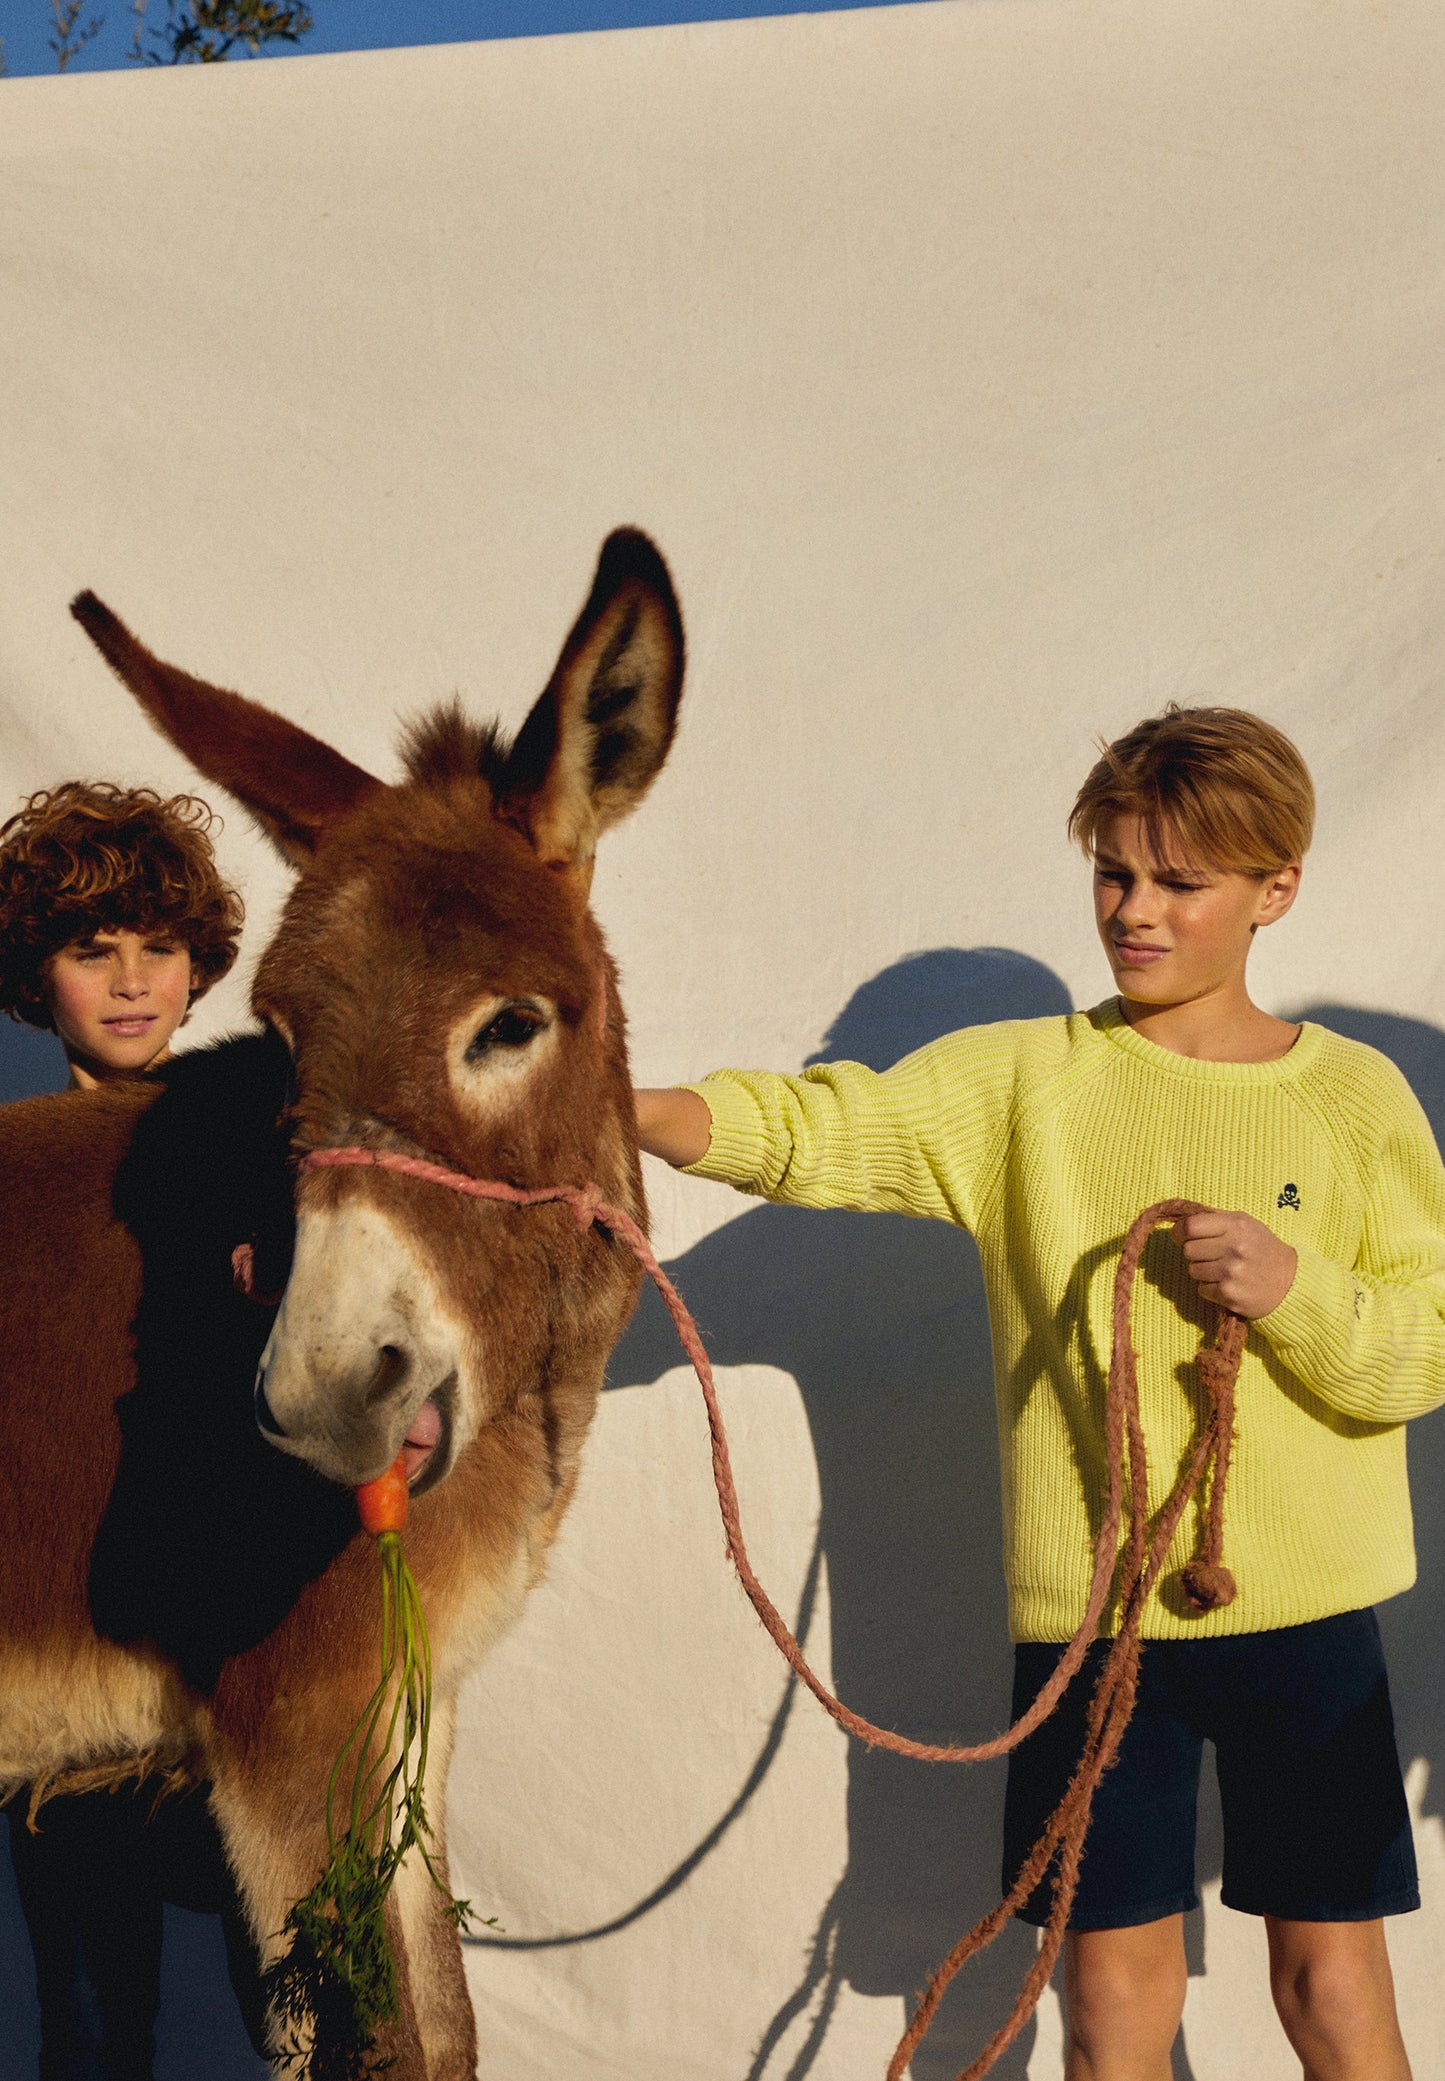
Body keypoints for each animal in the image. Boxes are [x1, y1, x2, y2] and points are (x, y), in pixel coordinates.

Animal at [0, 528, 684, 2077]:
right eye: (288, 1032)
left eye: (510, 1025)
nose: (322, 1397)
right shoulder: (289, 1735)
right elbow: (387, 2046)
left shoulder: (405, 1719)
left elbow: (446, 2025)